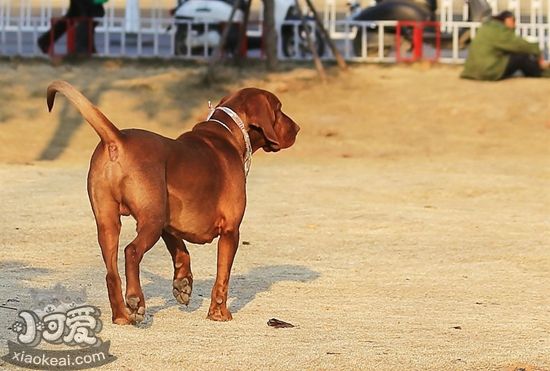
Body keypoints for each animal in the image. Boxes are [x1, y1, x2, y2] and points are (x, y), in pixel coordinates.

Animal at [47, 80, 300, 324]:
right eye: (279, 109)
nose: (297, 128)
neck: (228, 132)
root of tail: (117, 138)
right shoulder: (231, 230)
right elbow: (222, 278)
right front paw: (219, 313)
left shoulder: (168, 222)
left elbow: (181, 251)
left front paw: (183, 283)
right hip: (151, 219)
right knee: (131, 251)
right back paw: (136, 301)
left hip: (109, 223)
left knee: (111, 274)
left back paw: (121, 316)